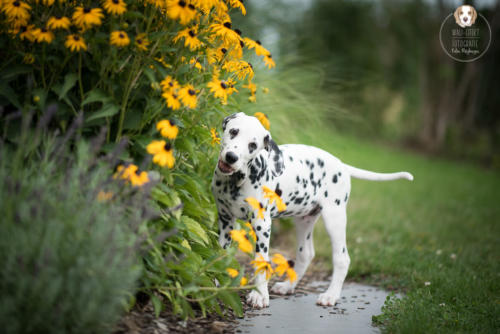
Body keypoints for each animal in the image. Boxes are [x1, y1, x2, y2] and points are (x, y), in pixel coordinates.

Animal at [211, 113, 410, 308]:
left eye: (252, 145)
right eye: (234, 131)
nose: (231, 157)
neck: (236, 182)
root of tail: (342, 165)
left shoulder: (262, 224)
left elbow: (261, 261)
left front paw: (259, 295)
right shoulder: (225, 220)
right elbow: (219, 253)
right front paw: (214, 281)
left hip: (334, 218)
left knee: (342, 258)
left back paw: (330, 295)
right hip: (304, 220)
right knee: (306, 254)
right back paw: (288, 286)